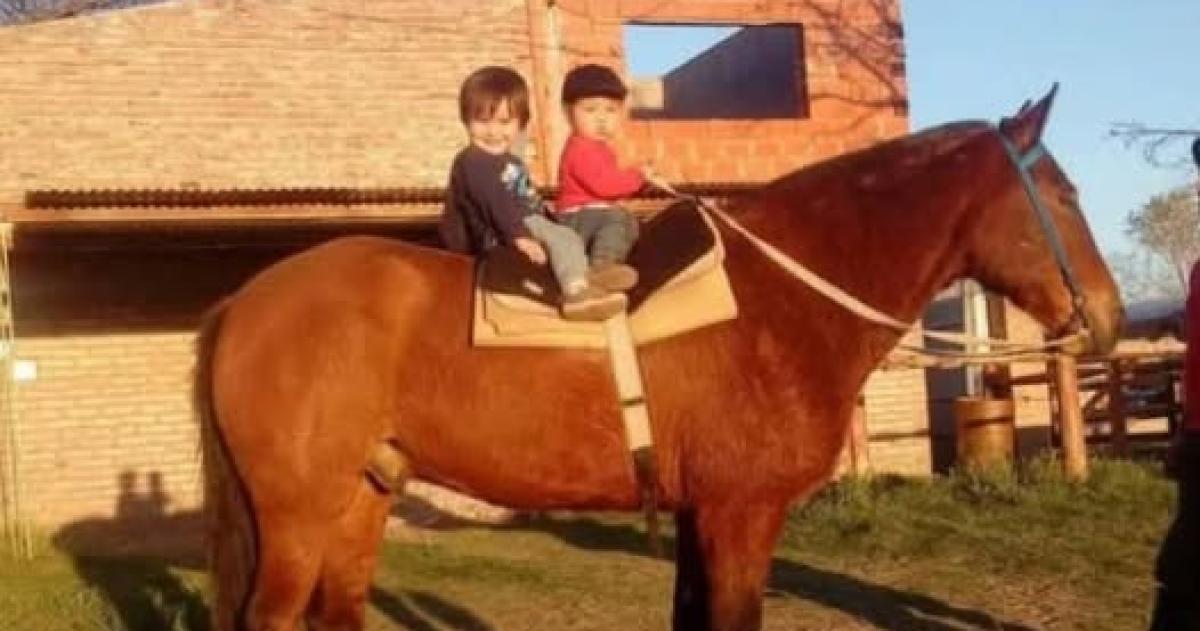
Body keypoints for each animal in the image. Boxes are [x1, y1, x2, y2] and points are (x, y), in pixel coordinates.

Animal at [195, 87, 1122, 631]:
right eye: (1064, 194)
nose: (1108, 317)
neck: (778, 293)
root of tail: (242, 303)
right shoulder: (741, 516)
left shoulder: (698, 517)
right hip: (298, 518)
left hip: (360, 499)